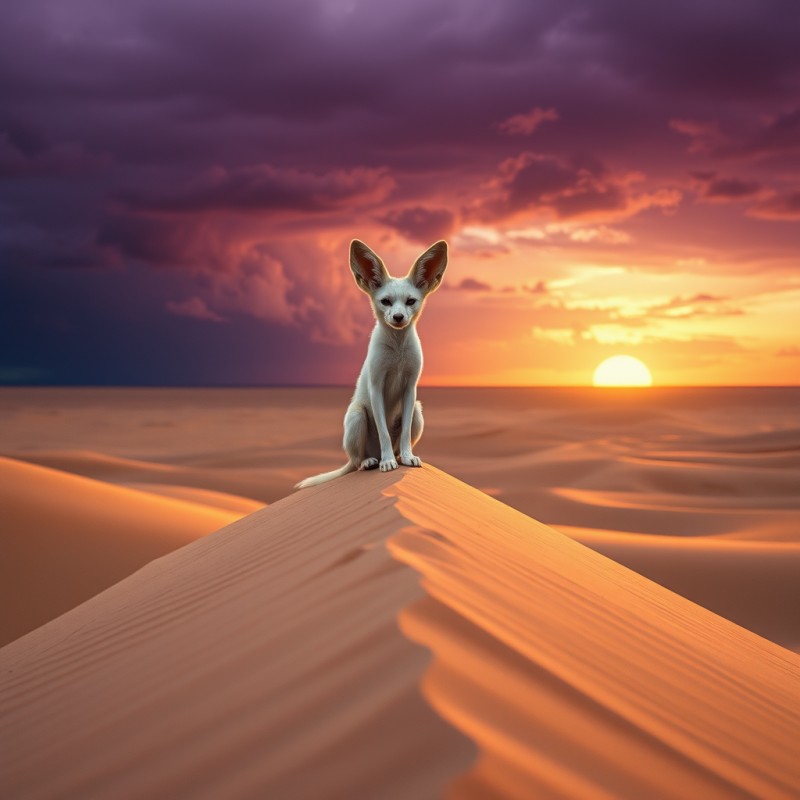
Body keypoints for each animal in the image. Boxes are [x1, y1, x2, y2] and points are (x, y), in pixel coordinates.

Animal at [295, 238, 448, 488]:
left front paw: (407, 457)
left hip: (417, 410)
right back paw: (373, 461)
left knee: (397, 442)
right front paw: (387, 463)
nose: (398, 317)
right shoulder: (376, 386)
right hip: (357, 414)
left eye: (411, 301)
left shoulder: (410, 389)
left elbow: (404, 433)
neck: (397, 349)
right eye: (385, 301)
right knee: (357, 461)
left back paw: (398, 456)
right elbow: (383, 431)